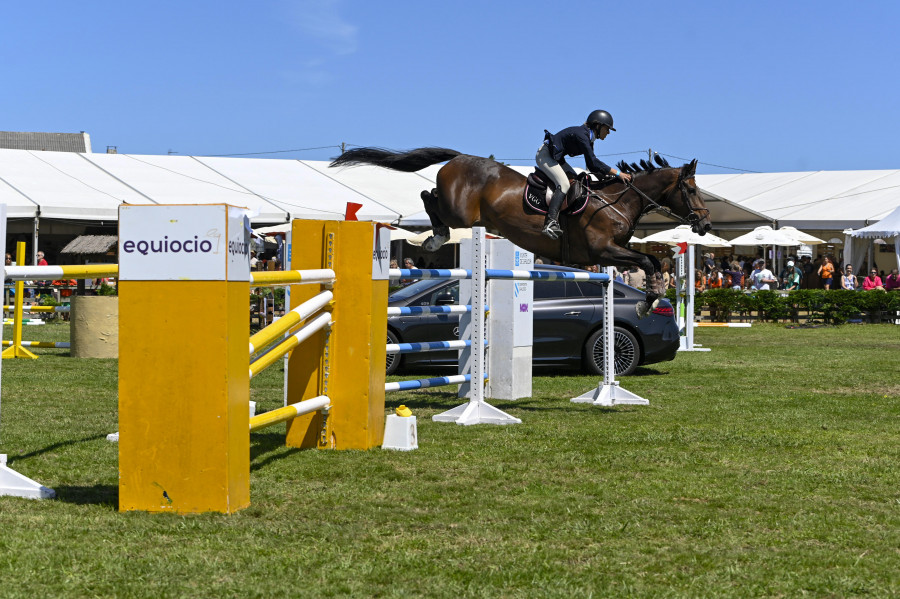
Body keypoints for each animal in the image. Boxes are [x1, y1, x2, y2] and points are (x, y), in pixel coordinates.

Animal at [326, 147, 712, 316]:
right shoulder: (602, 251)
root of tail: (458, 157)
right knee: (428, 196)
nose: (706, 224)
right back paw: (436, 237)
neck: (616, 200)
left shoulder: (613, 252)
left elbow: (652, 262)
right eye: (692, 190)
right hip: (460, 212)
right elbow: (647, 263)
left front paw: (653, 297)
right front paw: (648, 302)